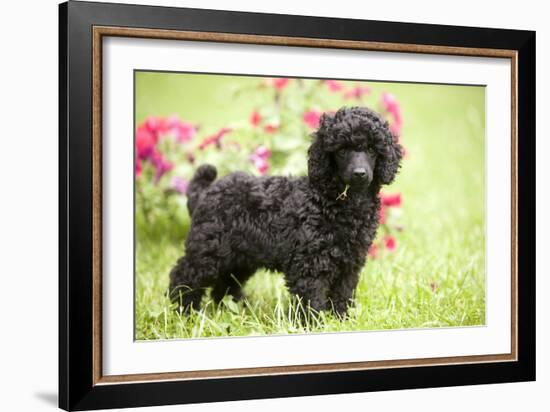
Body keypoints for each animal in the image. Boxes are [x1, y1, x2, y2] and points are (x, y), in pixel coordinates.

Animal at [170, 105, 404, 316]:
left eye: (372, 150)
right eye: (342, 151)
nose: (359, 173)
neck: (337, 201)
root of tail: (206, 191)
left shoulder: (350, 261)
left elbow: (343, 294)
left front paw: (341, 318)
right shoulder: (309, 262)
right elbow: (311, 297)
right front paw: (314, 324)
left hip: (240, 256)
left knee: (226, 283)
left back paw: (234, 310)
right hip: (208, 249)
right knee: (184, 276)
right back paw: (184, 312)